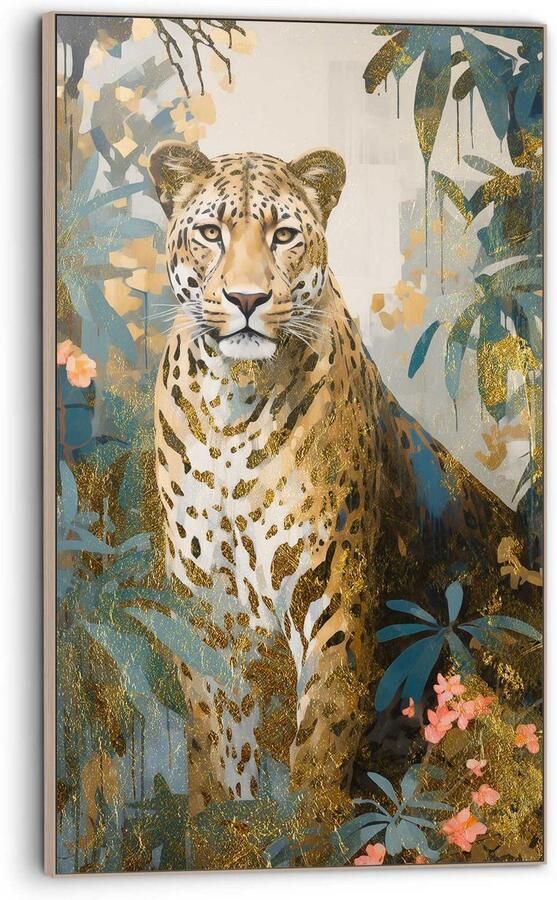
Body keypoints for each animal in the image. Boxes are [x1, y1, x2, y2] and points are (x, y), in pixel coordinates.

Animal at [148, 142, 529, 858]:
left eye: (283, 235)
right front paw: (219, 843)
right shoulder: (207, 612)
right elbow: (217, 757)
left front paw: (305, 845)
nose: (246, 298)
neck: (232, 406)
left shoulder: (330, 593)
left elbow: (319, 749)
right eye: (210, 232)